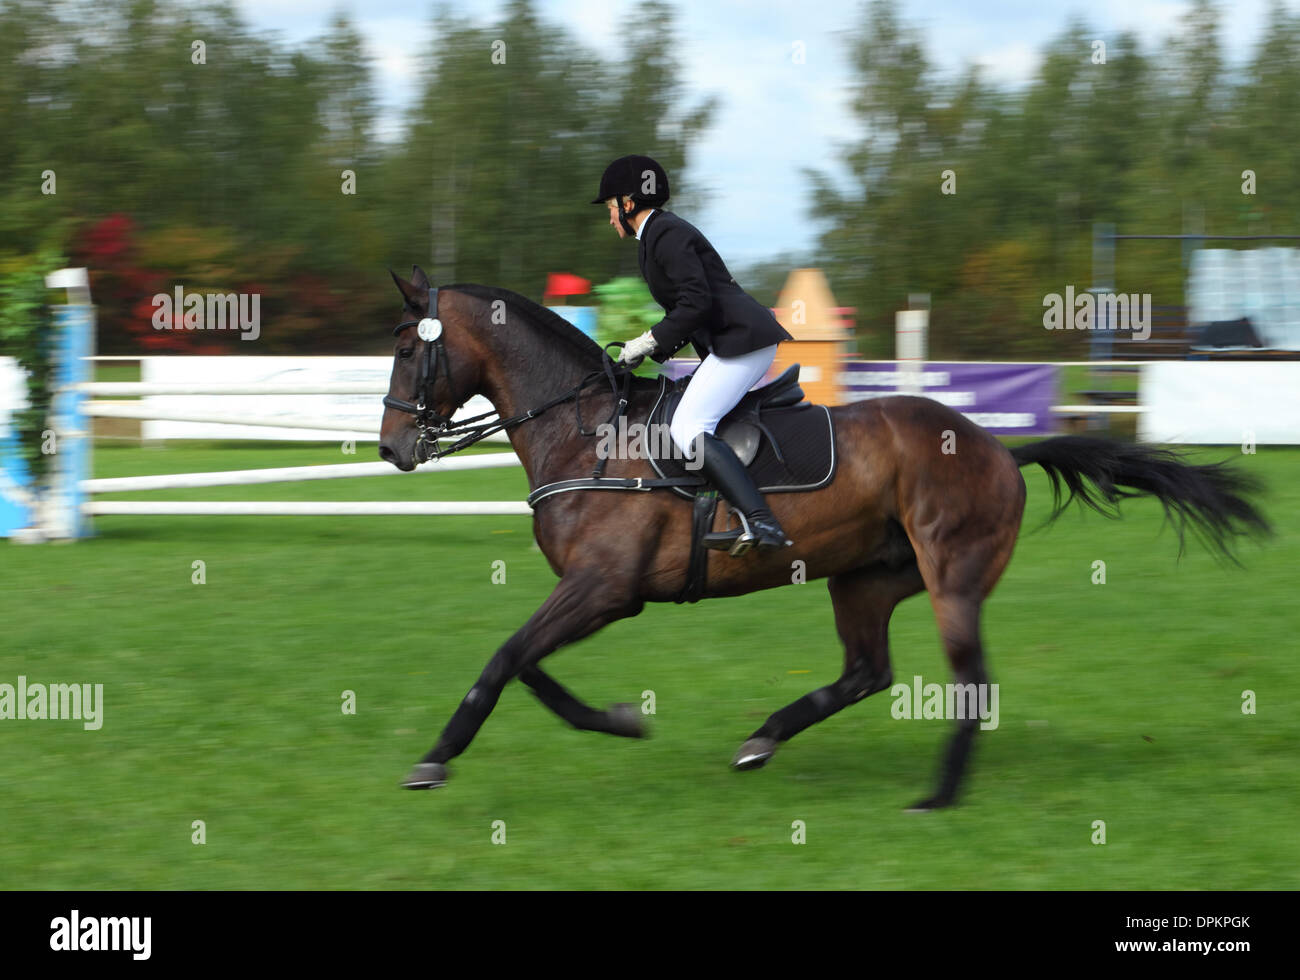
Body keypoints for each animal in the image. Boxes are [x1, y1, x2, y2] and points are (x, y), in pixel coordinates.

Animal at [377, 267, 1268, 811]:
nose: (391, 450)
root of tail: (998, 450)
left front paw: (437, 759)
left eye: (407, 347)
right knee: (868, 672)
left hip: (952, 576)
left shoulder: (604, 587)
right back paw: (763, 740)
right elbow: (526, 664)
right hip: (866, 577)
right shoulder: (596, 593)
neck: (584, 430)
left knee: (968, 681)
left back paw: (936, 798)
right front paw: (621, 720)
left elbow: (505, 659)